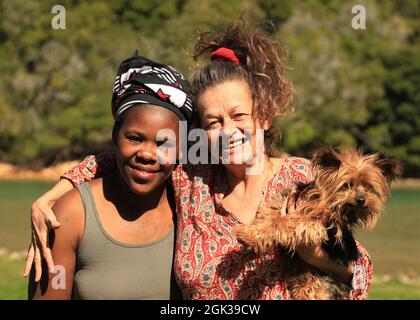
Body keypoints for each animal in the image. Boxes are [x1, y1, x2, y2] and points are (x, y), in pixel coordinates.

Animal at [235, 148, 402, 300]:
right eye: (346, 185)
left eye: (369, 187)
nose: (361, 199)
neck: (321, 202)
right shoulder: (281, 204)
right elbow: (271, 218)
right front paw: (248, 235)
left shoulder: (314, 225)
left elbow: (287, 221)